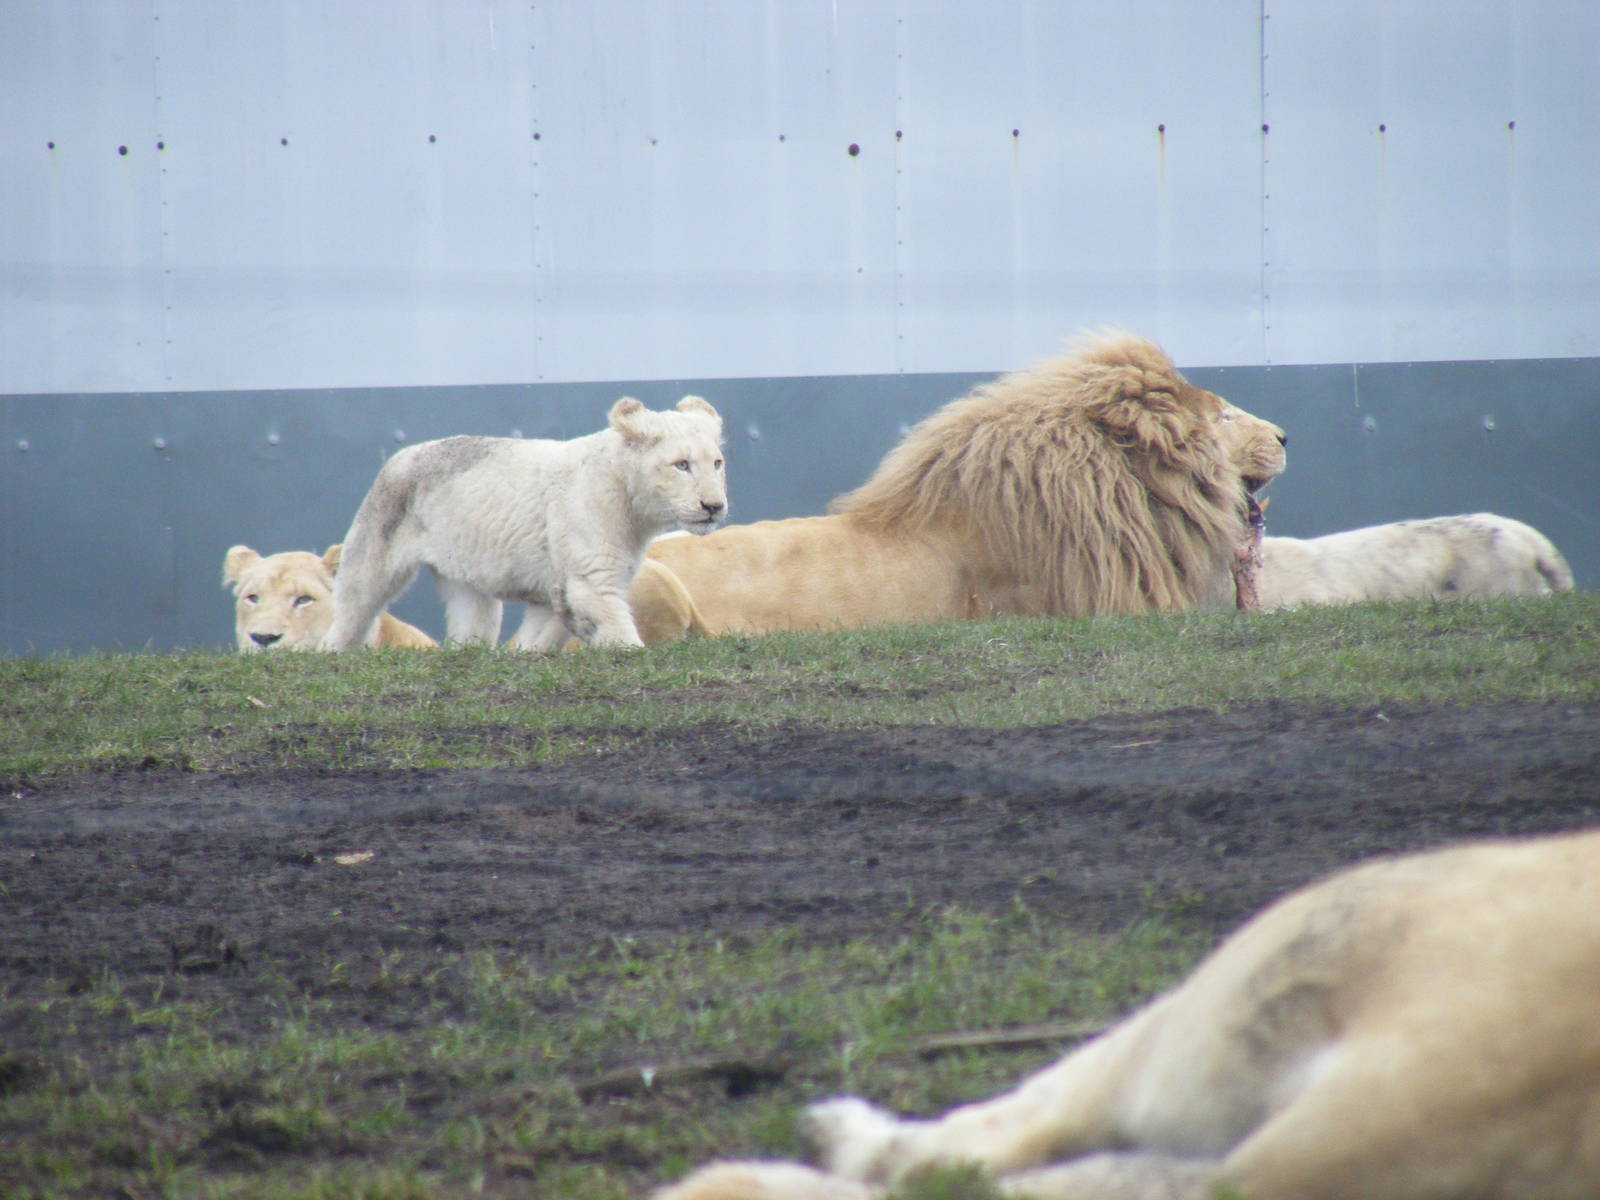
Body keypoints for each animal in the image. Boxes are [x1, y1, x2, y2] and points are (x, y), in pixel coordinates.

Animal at [321, 396, 726, 651]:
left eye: (717, 463)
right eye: (681, 464)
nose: (713, 506)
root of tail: (401, 455)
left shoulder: (558, 584)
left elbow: (544, 632)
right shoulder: (588, 575)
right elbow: (613, 624)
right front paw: (631, 651)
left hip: (463, 570)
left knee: (473, 617)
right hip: (377, 538)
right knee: (354, 604)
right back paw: (333, 649)